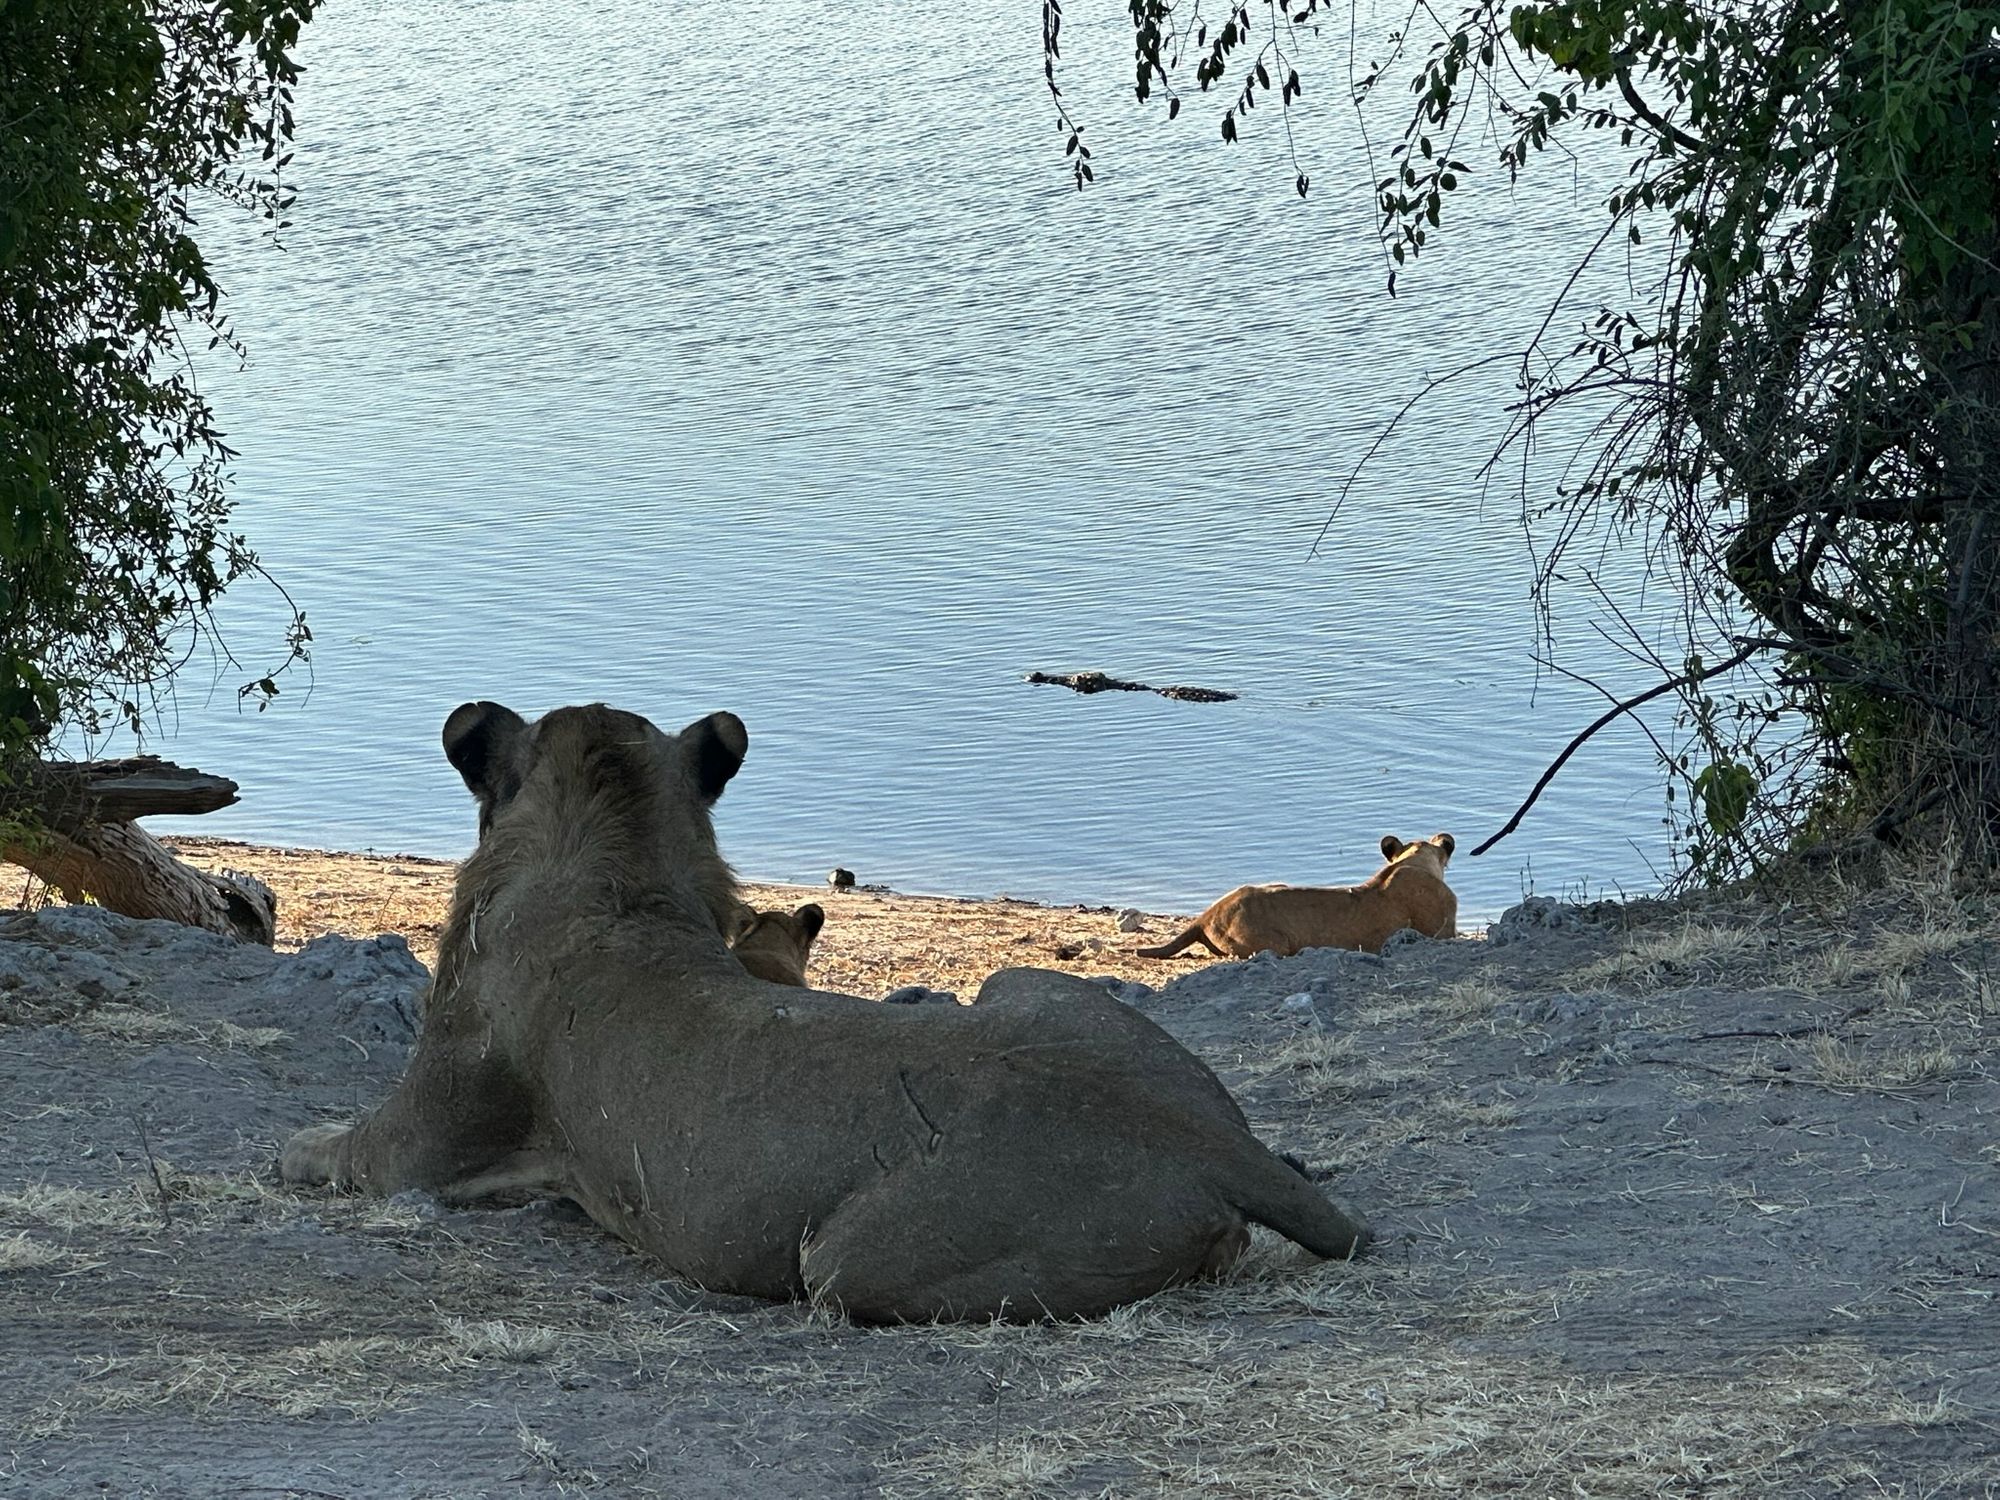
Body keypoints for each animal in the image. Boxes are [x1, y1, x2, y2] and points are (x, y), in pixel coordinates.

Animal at [282, 700, 1368, 1320]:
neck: (612, 867)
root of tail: (1202, 1140)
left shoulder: (425, 1134)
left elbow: (334, 1152)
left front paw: (297, 1148)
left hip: (844, 1265)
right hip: (1023, 987)